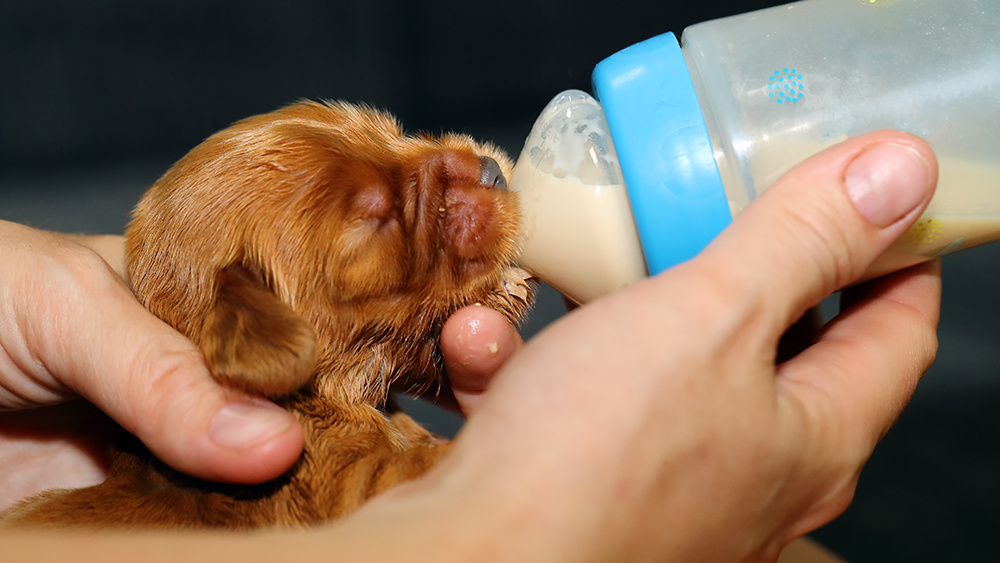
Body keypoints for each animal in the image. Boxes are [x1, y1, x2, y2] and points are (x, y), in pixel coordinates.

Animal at [0, 101, 536, 528]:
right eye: (376, 220)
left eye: (396, 133)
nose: (492, 169)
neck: (318, 402)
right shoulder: (354, 483)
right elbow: (417, 465)